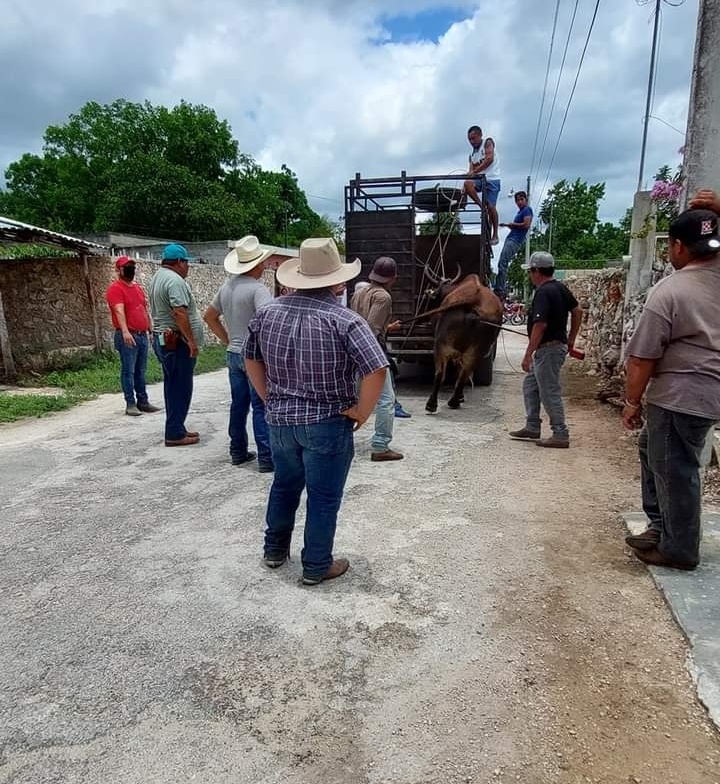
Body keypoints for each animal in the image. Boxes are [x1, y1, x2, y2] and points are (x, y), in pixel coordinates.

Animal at [422, 270, 500, 414]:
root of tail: (474, 299)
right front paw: (460, 396)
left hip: (441, 345)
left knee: (441, 374)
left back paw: (435, 404)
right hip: (476, 352)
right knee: (463, 374)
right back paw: (452, 401)